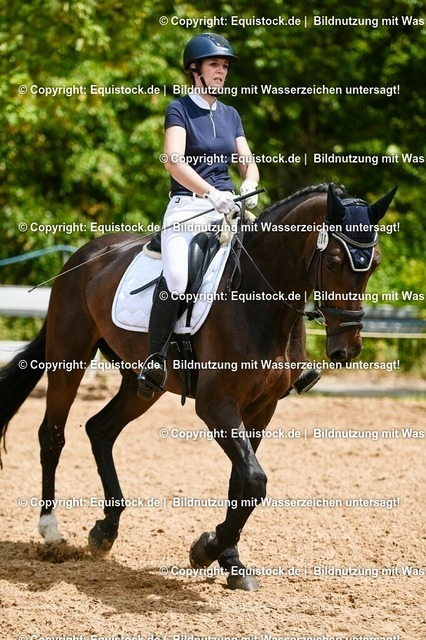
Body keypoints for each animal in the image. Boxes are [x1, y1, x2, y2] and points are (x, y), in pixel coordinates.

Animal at [0, 182, 397, 590]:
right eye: (333, 262)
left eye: (375, 263)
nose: (347, 349)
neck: (257, 297)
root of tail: (82, 256)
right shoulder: (216, 406)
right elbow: (254, 480)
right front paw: (205, 550)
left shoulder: (261, 408)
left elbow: (242, 484)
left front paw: (231, 561)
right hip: (69, 359)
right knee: (52, 434)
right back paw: (51, 530)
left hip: (142, 384)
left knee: (100, 429)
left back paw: (105, 529)